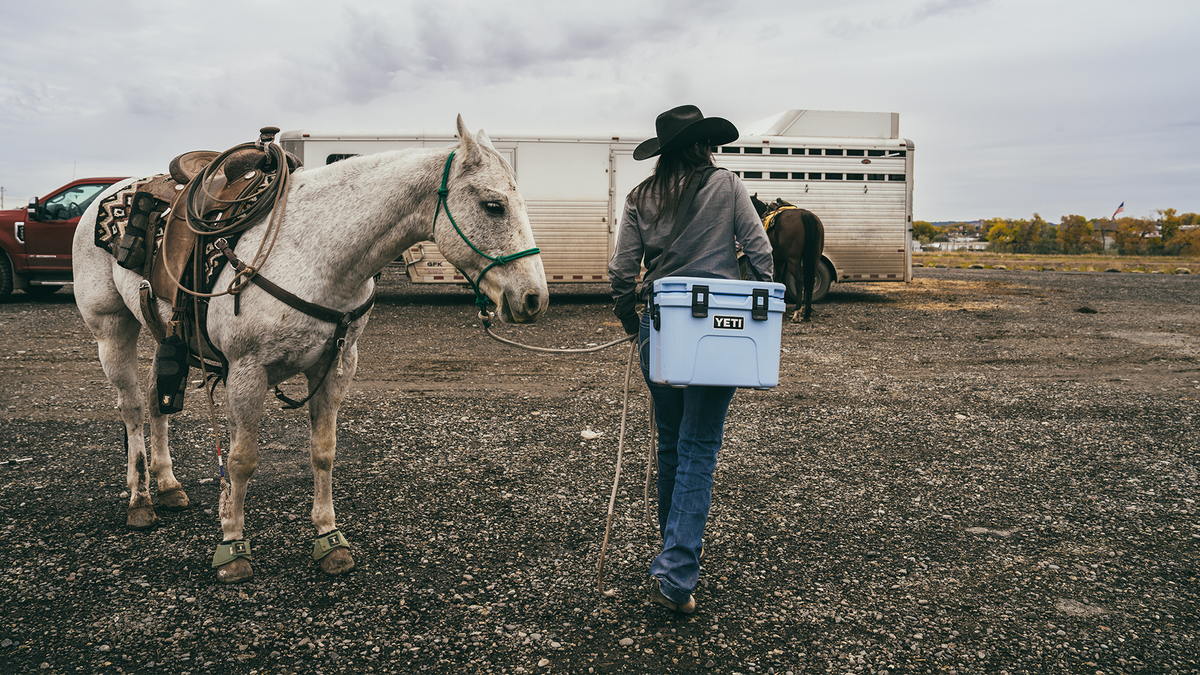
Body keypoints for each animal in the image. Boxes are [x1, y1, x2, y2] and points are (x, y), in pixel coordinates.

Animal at [70, 114, 549, 578]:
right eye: (493, 206)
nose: (534, 298)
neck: (315, 251)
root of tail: (104, 195)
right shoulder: (247, 373)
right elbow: (242, 460)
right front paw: (232, 546)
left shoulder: (335, 366)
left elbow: (323, 452)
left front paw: (329, 539)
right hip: (112, 329)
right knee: (133, 407)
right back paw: (140, 501)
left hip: (165, 332)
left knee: (157, 400)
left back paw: (168, 486)